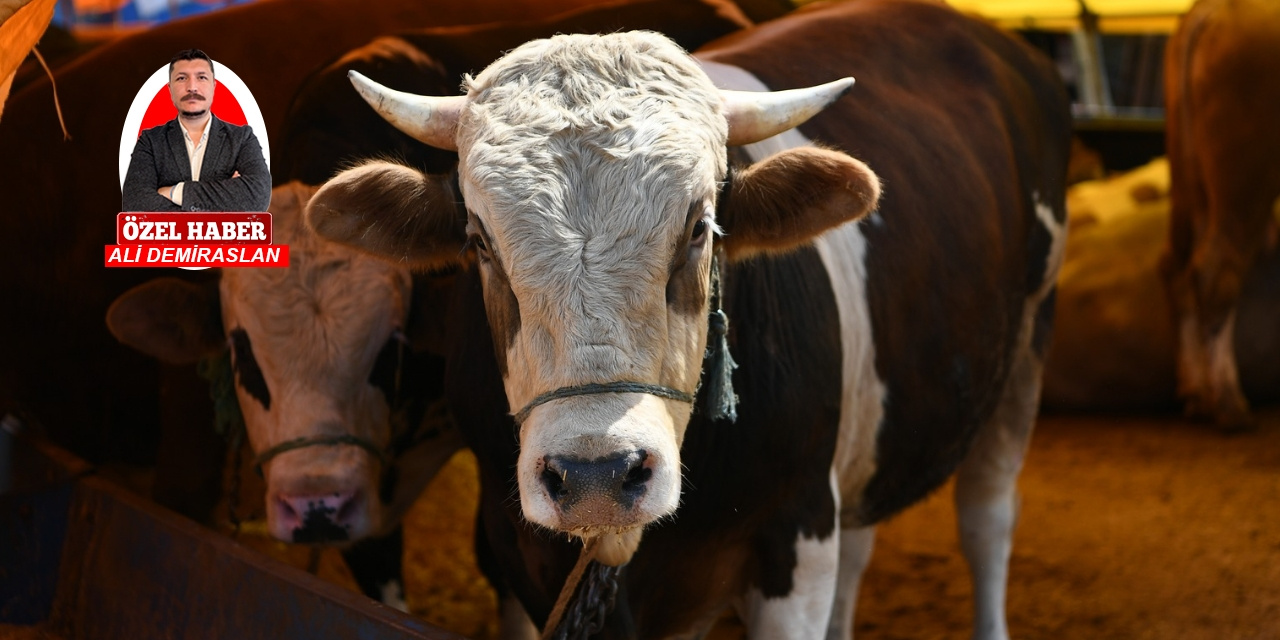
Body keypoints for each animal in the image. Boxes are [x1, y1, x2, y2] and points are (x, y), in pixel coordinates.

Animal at [307, 2, 1070, 637]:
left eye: (701, 227)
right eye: (479, 241)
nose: (597, 474)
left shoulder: (798, 537)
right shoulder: (516, 545)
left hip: (1026, 352)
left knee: (987, 519)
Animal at [1162, 0, 1280, 435]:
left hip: (1189, 182)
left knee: (1175, 269)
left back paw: (1196, 394)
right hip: (1246, 180)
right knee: (1215, 273)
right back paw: (1229, 404)